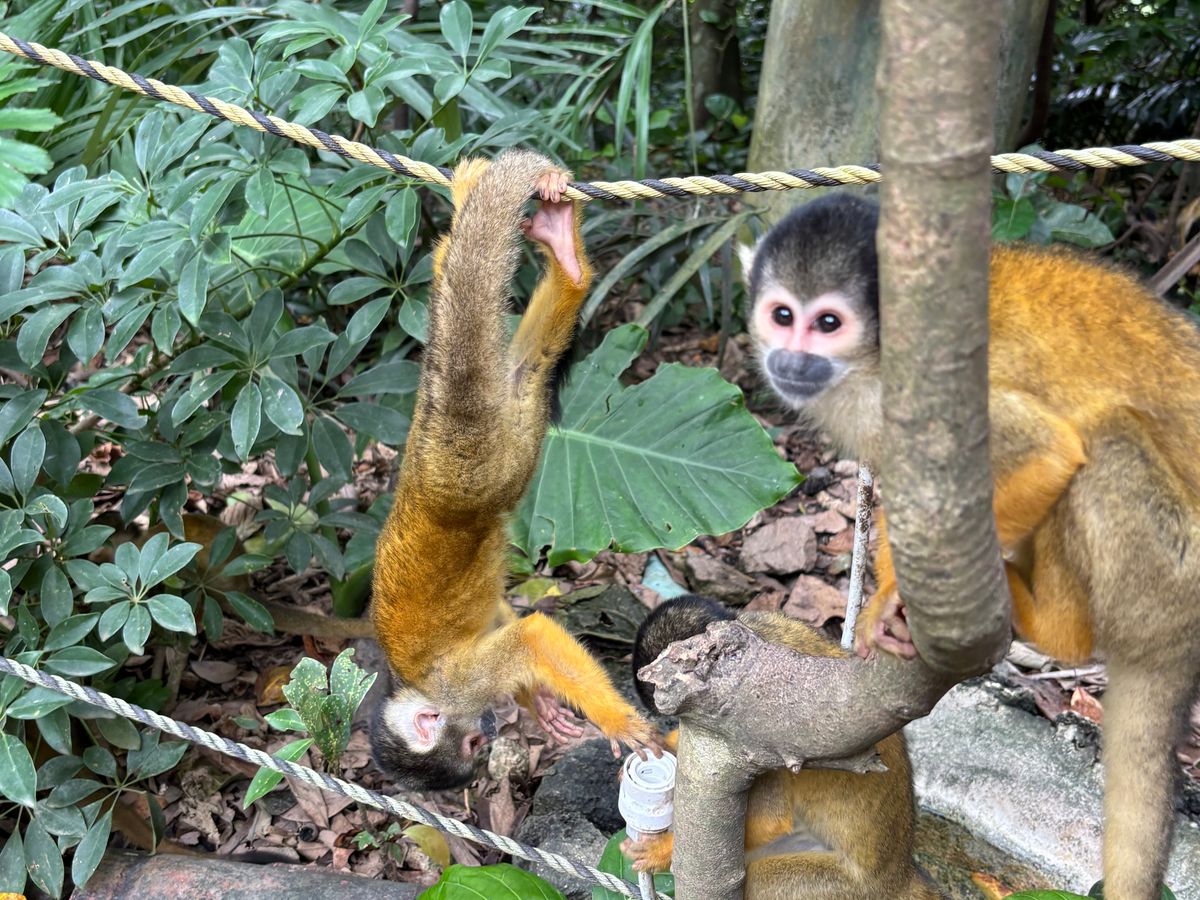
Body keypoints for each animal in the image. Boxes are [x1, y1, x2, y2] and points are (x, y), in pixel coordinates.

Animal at [367, 149, 660, 791]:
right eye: (476, 744)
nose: (491, 729)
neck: (420, 689)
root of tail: (427, 479)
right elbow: (509, 620)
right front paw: (541, 704)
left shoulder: (459, 684)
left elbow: (528, 637)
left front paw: (614, 718)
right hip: (465, 413)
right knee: (522, 364)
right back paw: (561, 260)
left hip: (478, 462)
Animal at [622, 595, 943, 900]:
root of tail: (900, 875)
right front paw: (663, 744)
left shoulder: (757, 733)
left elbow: (770, 821)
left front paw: (662, 850)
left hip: (843, 889)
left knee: (760, 878)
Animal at [739, 192, 1200, 900]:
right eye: (782, 315)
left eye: (828, 323)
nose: (791, 361)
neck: (876, 358)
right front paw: (885, 604)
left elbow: (1048, 449)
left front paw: (898, 600)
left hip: (1176, 571)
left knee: (1106, 440)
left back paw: (1053, 625)